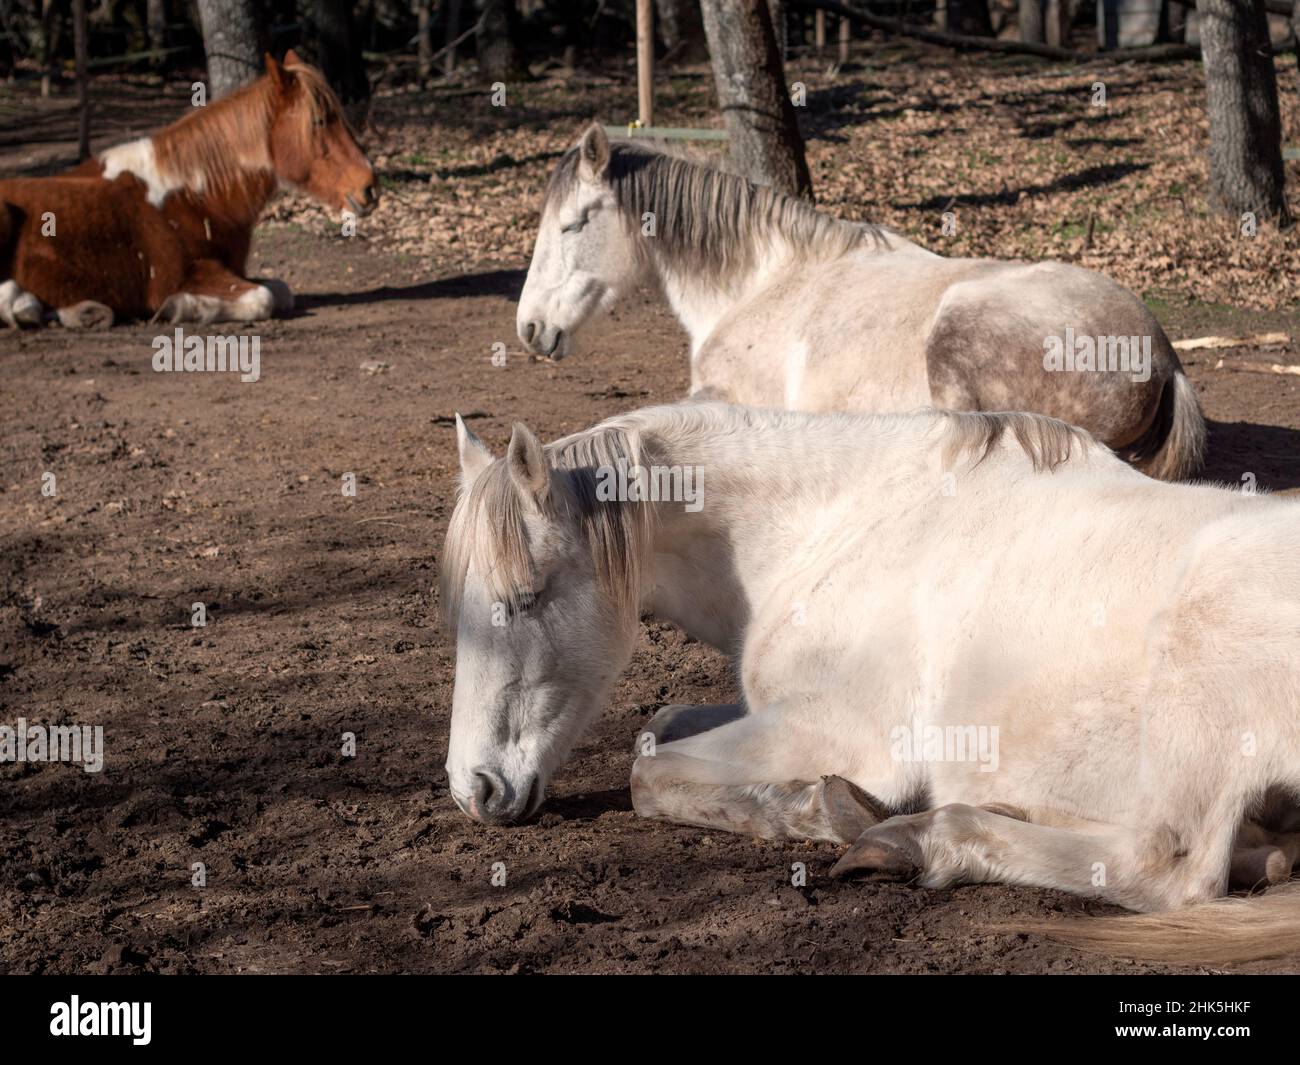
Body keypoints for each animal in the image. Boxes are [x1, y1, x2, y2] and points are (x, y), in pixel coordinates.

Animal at [0, 50, 377, 331]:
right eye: (318, 121)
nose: (369, 188)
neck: (192, 197)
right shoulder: (192, 275)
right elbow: (263, 298)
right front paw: (183, 307)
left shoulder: (236, 272)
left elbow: (282, 291)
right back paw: (27, 305)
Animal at [444, 403, 1300, 967]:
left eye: (528, 597)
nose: (473, 788)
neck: (839, 521)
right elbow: (663, 719)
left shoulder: (835, 730)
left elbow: (647, 772)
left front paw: (818, 809)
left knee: (1167, 866)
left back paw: (916, 837)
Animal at [512, 126, 1201, 486]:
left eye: (574, 223)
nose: (529, 328)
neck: (761, 279)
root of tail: (1164, 358)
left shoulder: (723, 397)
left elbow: (628, 423)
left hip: (957, 338)